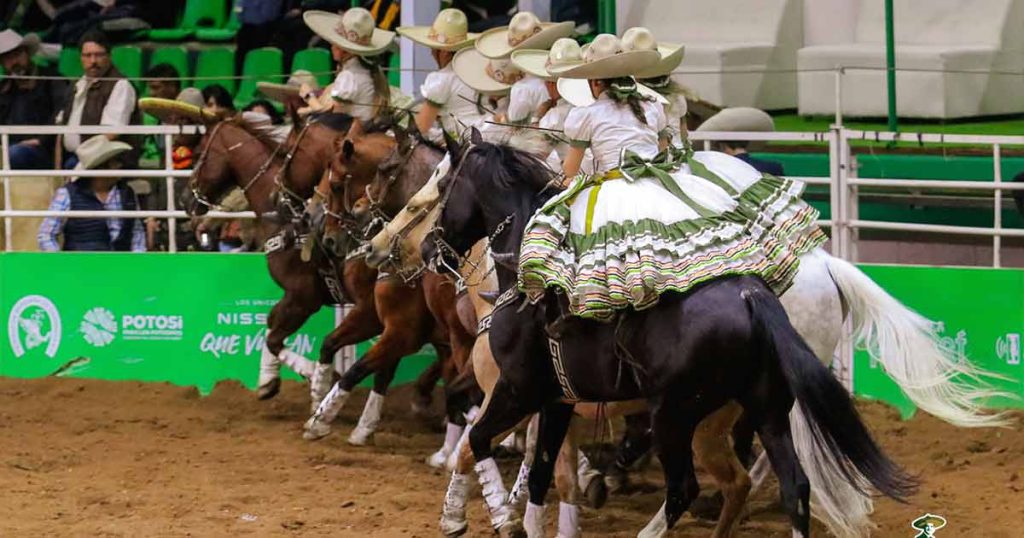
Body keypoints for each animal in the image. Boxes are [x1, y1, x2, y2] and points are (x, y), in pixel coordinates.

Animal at [419, 131, 917, 536]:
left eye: (443, 184)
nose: (425, 248)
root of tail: (750, 295)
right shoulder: (555, 401)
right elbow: (540, 474)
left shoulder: (518, 390)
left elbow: (478, 443)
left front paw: (482, 517)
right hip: (763, 405)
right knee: (791, 485)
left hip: (674, 413)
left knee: (686, 488)